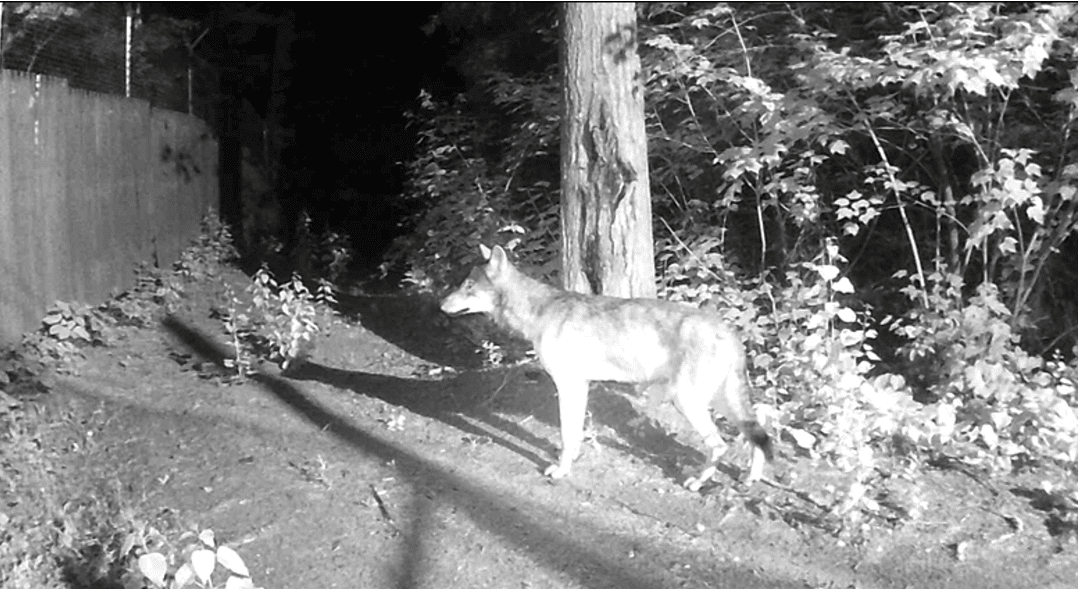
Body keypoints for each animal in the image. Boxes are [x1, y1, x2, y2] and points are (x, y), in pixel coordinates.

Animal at [440, 244, 774, 491]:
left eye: (468, 286)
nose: (441, 305)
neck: (540, 312)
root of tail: (730, 330)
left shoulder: (569, 386)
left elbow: (567, 435)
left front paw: (561, 470)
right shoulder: (579, 387)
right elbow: (573, 435)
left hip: (688, 401)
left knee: (720, 445)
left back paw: (698, 482)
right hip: (716, 399)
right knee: (757, 428)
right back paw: (751, 477)